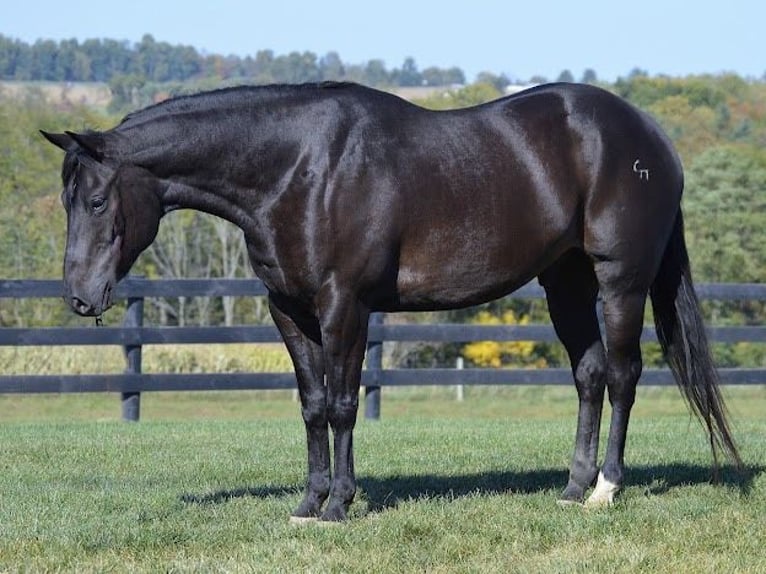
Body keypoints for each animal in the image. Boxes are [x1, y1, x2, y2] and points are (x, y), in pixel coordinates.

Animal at [40, 83, 736, 524]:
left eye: (97, 201)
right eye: (67, 201)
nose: (80, 296)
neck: (298, 168)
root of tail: (651, 136)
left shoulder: (345, 305)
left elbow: (344, 405)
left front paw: (340, 504)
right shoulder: (289, 309)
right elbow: (312, 406)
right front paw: (308, 503)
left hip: (620, 280)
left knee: (621, 375)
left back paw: (606, 491)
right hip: (564, 281)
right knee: (589, 375)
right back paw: (571, 488)